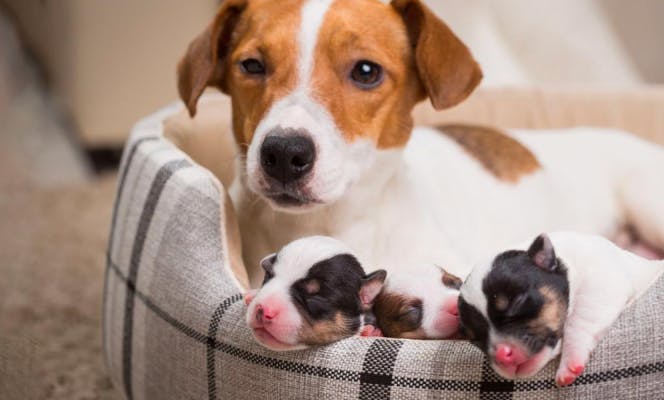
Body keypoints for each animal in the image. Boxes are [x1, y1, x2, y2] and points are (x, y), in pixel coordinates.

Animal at [460, 233, 660, 386]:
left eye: (518, 302)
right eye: (475, 338)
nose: (502, 355)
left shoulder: (601, 281)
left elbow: (579, 320)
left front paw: (570, 360)